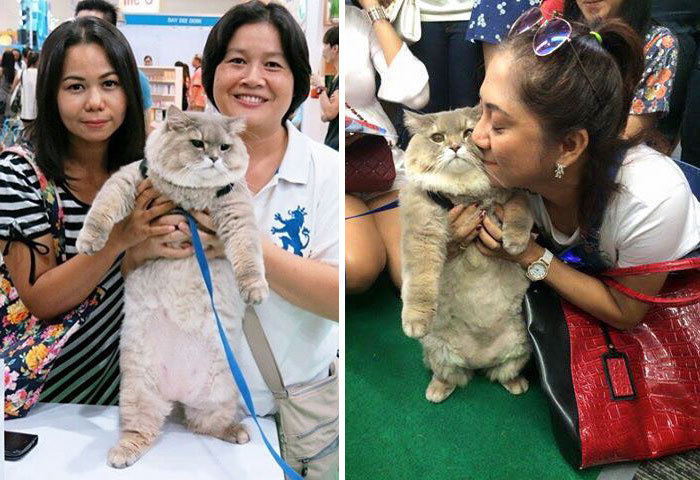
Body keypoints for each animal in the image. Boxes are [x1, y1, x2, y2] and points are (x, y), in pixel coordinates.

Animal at [76, 106, 268, 468]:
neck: (188, 202)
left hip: (220, 394)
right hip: (138, 392)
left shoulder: (237, 212)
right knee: (142, 430)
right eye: (197, 143)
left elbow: (248, 256)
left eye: (224, 147)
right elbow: (102, 209)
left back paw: (236, 432)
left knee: (203, 424)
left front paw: (255, 289)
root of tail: (178, 395)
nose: (213, 158)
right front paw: (88, 241)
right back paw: (122, 454)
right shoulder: (127, 181)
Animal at [402, 107, 532, 404]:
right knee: (450, 376)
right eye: (437, 137)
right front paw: (414, 321)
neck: (463, 192)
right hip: (437, 352)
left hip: (520, 348)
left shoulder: (513, 195)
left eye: (468, 132)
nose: (454, 147)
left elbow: (520, 211)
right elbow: (420, 281)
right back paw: (436, 392)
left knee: (502, 372)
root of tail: (478, 360)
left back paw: (517, 384)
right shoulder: (422, 232)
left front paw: (515, 242)